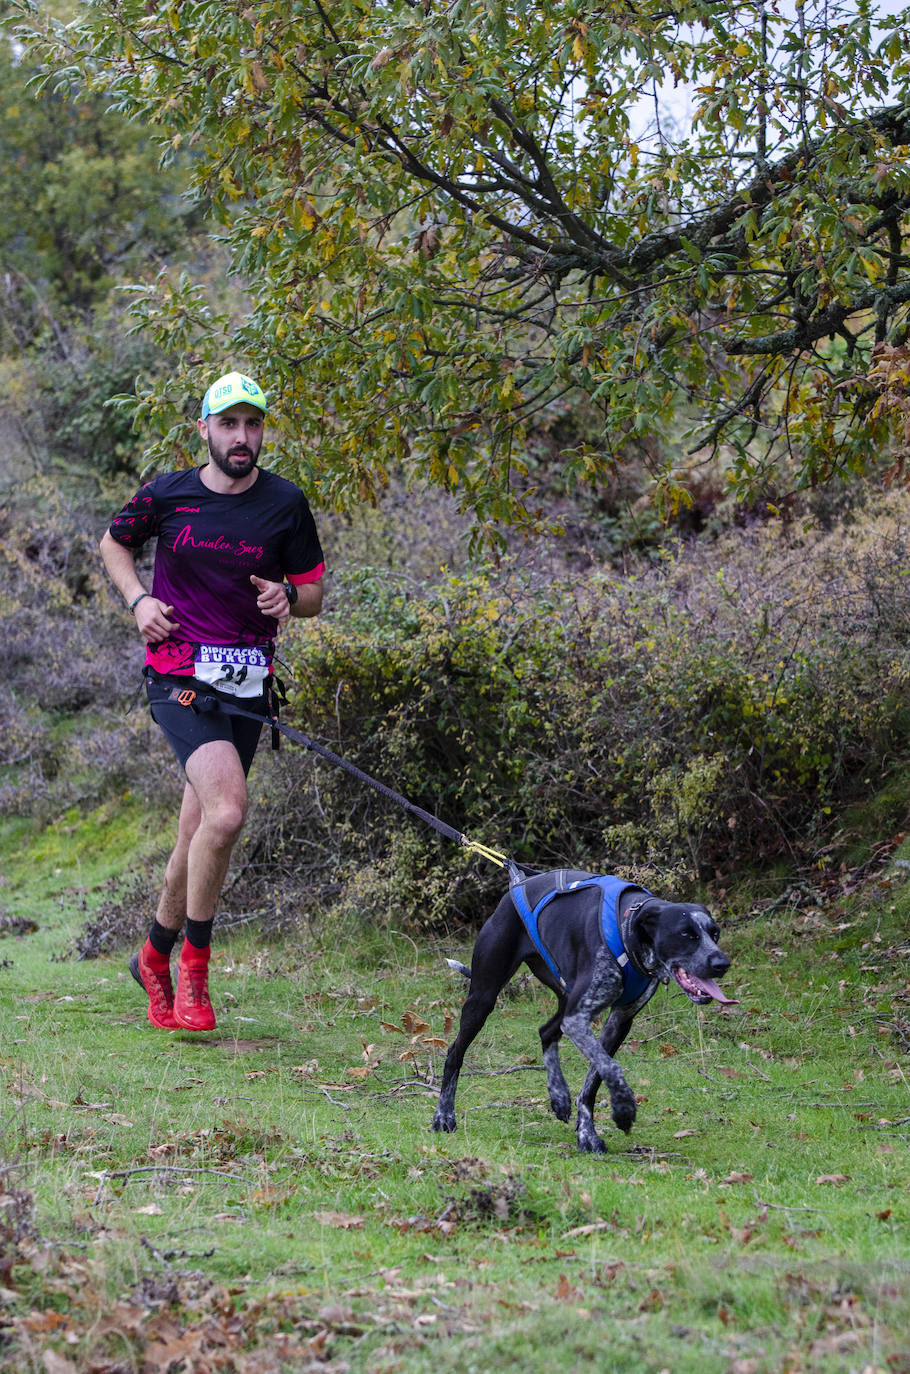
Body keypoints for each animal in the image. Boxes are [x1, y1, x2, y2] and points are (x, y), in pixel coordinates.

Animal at [431, 868, 736, 1148]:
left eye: (715, 934)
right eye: (686, 934)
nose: (722, 963)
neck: (627, 930)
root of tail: (516, 882)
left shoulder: (617, 1020)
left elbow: (595, 1078)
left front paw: (587, 1131)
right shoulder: (578, 1019)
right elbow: (611, 1066)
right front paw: (623, 1110)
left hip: (565, 998)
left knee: (546, 1032)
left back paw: (559, 1095)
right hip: (483, 998)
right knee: (454, 1053)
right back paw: (444, 1115)